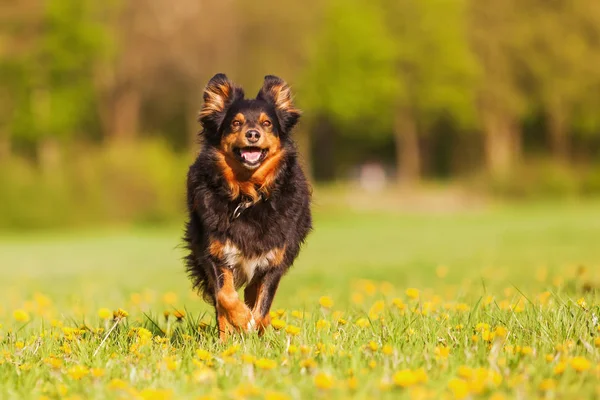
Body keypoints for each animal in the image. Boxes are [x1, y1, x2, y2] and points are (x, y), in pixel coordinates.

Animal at [185, 73, 312, 340]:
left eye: (267, 123)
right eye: (235, 123)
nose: (253, 134)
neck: (248, 195)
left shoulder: (274, 260)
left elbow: (263, 307)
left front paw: (254, 327)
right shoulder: (214, 253)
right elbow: (225, 296)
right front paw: (242, 320)